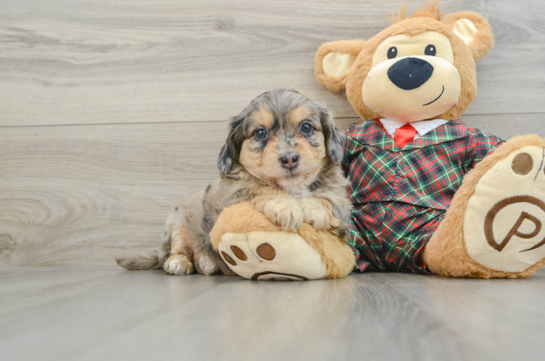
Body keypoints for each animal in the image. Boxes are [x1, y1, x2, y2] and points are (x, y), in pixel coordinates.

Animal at [117, 88, 350, 274]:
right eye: (261, 132)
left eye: (307, 127)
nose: (290, 158)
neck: (292, 188)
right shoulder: (233, 199)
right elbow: (260, 188)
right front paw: (286, 207)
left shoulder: (342, 204)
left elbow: (327, 198)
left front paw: (314, 209)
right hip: (179, 221)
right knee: (174, 251)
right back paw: (181, 263)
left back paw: (206, 263)